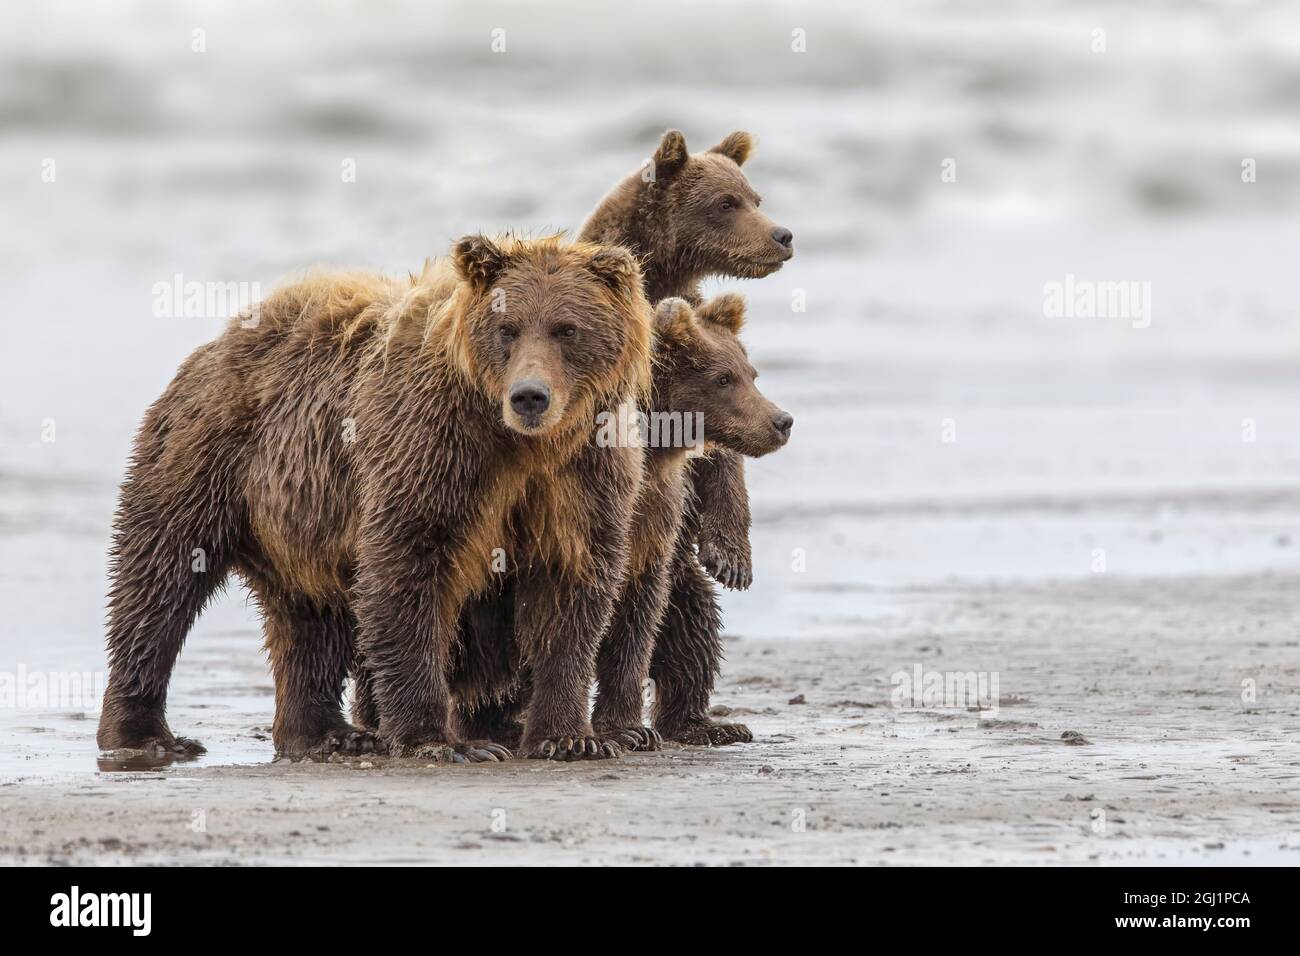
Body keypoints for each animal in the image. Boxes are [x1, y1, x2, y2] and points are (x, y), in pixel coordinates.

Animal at [96, 233, 653, 762]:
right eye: (507, 328)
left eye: (567, 328)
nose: (529, 396)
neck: (521, 444)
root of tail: (218, 344)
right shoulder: (433, 450)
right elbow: (406, 567)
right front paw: (444, 741)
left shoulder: (581, 478)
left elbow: (571, 594)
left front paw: (569, 738)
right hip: (206, 459)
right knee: (160, 577)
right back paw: (145, 733)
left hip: (303, 521)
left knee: (310, 619)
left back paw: (327, 733)